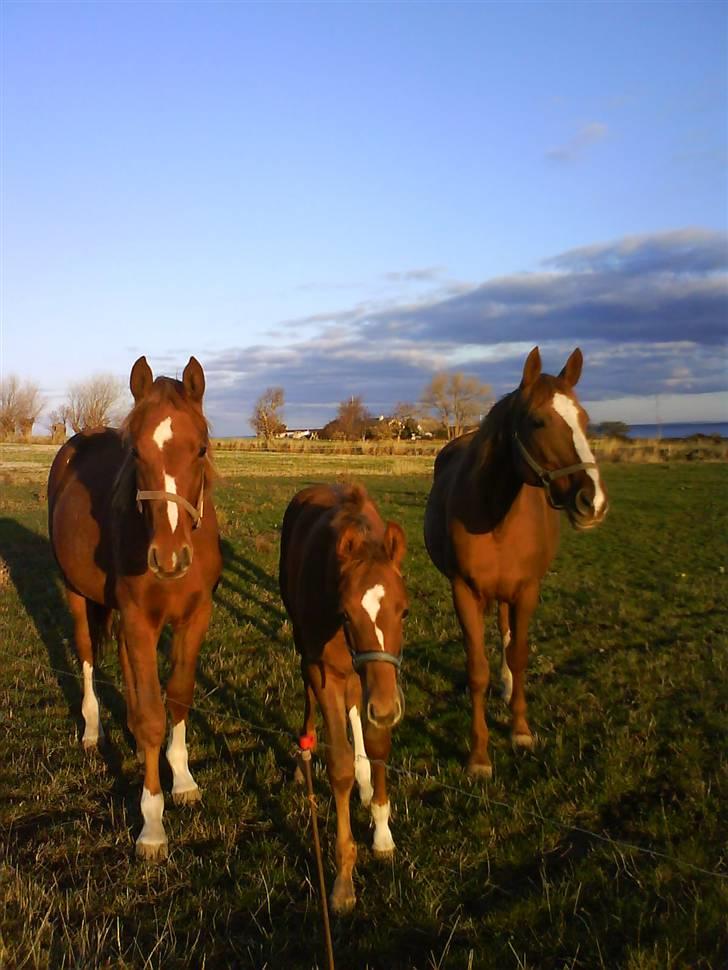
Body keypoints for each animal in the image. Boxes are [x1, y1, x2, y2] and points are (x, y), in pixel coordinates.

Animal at [47, 354, 222, 856]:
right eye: (138, 454)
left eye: (201, 449)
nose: (169, 558)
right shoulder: (141, 619)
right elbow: (150, 718)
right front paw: (152, 825)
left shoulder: (194, 618)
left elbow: (177, 697)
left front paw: (182, 780)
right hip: (77, 594)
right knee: (87, 654)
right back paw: (92, 730)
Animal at [280, 484, 410, 916]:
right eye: (348, 614)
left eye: (404, 612)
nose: (385, 709)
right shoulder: (326, 671)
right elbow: (338, 767)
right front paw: (343, 881)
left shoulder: (376, 680)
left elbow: (378, 743)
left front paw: (383, 831)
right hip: (307, 650)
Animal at [426, 344, 608, 776]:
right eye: (538, 421)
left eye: (584, 419)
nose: (592, 502)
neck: (495, 516)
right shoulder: (465, 591)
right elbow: (477, 669)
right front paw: (479, 756)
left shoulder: (527, 590)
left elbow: (520, 655)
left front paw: (520, 730)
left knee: (508, 635)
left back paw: (508, 689)